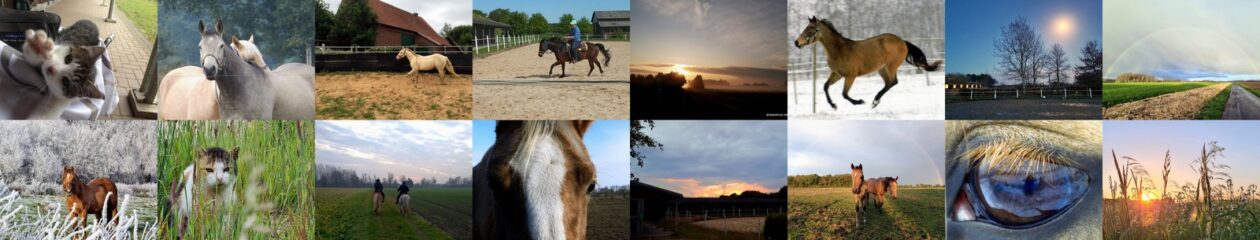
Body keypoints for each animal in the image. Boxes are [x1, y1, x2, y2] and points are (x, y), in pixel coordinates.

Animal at [791, 17, 942, 109]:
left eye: (810, 29)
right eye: (806, 28)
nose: (796, 42)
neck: (839, 50)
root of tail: (903, 41)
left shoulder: (850, 76)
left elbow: (844, 94)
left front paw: (859, 102)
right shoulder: (837, 74)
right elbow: (825, 87)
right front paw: (833, 106)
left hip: (891, 66)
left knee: (893, 81)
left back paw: (874, 101)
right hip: (882, 69)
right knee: (889, 82)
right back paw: (876, 101)